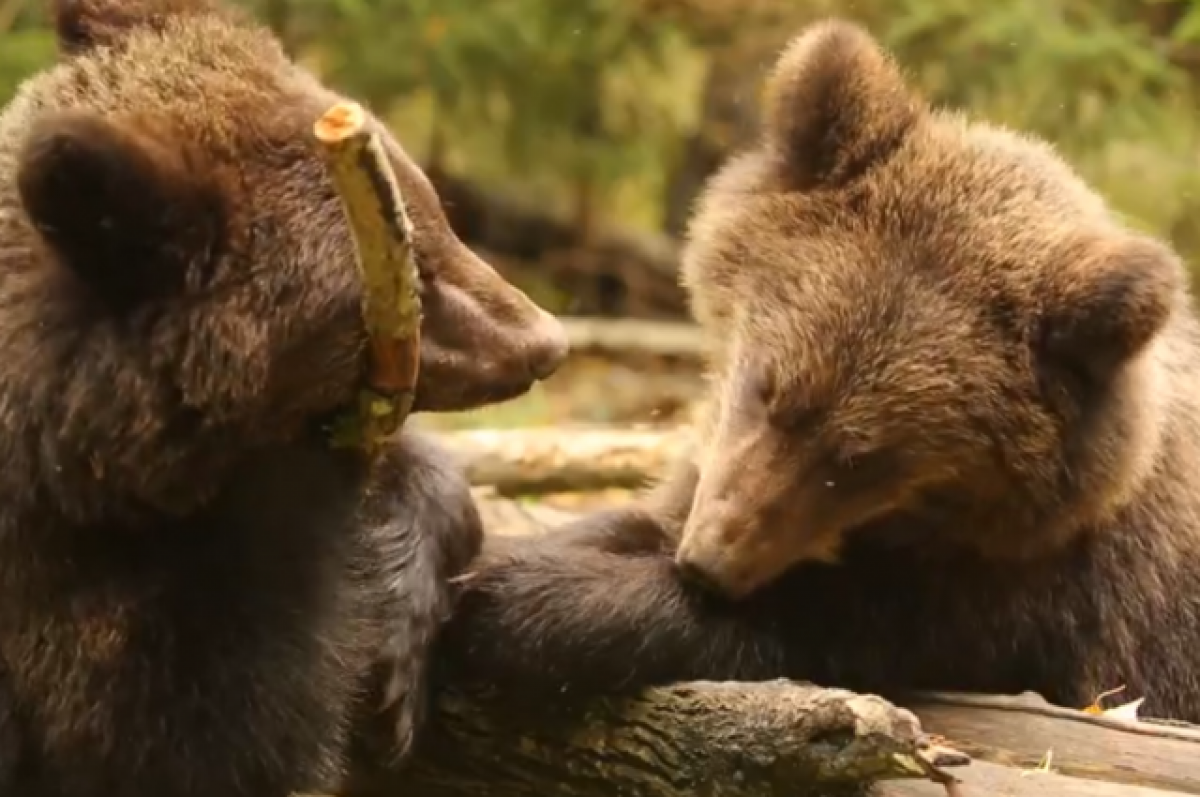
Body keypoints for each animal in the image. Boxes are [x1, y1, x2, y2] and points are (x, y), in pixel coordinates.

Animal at [436, 18, 1200, 720]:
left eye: (864, 458)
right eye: (766, 386)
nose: (709, 561)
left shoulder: (1022, 602)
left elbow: (809, 625)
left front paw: (518, 598)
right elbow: (644, 512)